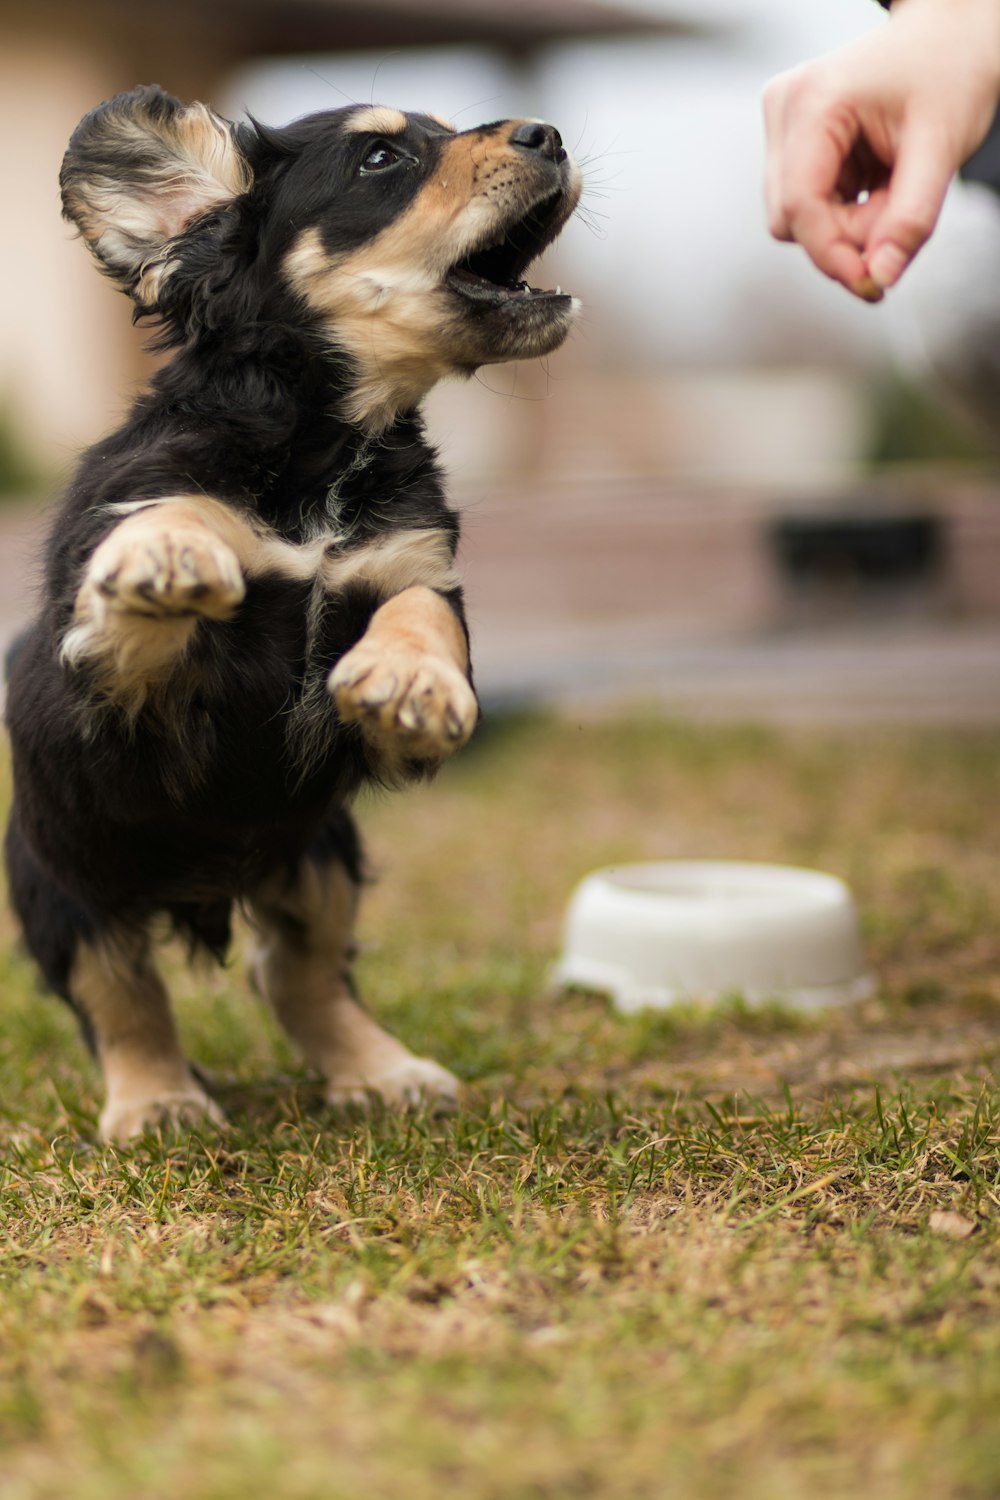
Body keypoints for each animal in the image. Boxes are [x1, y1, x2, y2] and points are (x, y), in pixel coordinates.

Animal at [3, 85, 581, 1134]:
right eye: (381, 160)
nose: (549, 135)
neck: (321, 449)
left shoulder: (413, 564)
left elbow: (424, 614)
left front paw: (409, 682)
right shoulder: (114, 694)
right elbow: (167, 528)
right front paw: (167, 550)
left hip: (319, 855)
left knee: (295, 974)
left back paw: (383, 1072)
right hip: (65, 886)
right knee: (122, 994)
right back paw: (159, 1103)